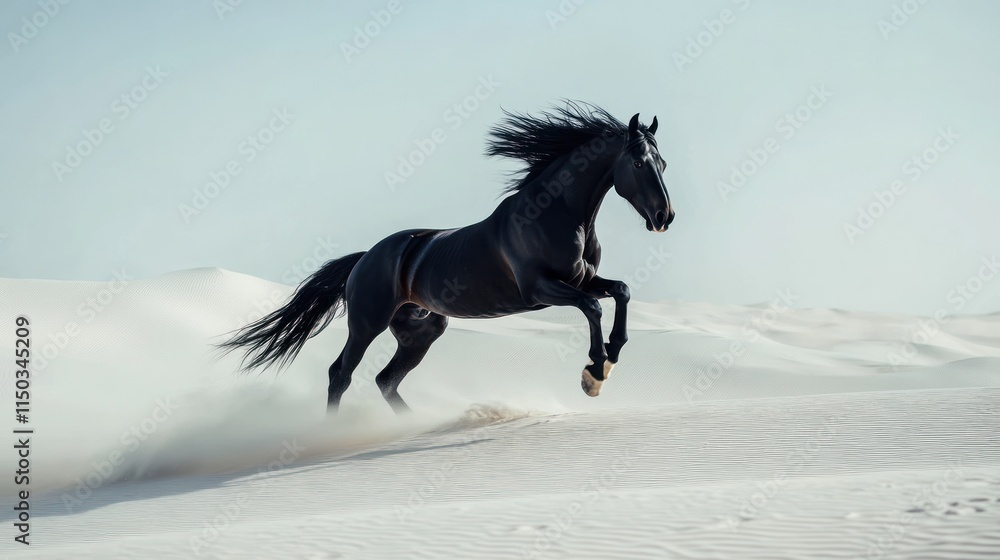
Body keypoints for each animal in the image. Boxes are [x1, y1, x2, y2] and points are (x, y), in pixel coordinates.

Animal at [219, 102, 674, 413]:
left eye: (663, 163)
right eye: (638, 162)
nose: (663, 217)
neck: (554, 214)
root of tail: (365, 258)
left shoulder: (581, 279)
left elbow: (620, 291)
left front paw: (611, 355)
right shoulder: (540, 289)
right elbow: (593, 306)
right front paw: (594, 373)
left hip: (421, 331)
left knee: (385, 380)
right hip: (367, 324)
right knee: (340, 375)